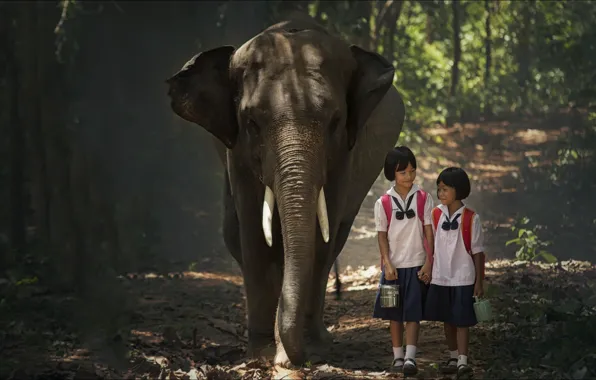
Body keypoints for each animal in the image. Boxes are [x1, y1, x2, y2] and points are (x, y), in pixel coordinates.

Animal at [168, 15, 408, 368]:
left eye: (335, 121)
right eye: (251, 123)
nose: (291, 360)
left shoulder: (345, 153)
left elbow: (321, 235)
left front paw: (306, 351)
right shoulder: (237, 151)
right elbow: (254, 233)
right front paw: (264, 353)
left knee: (335, 238)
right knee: (234, 232)